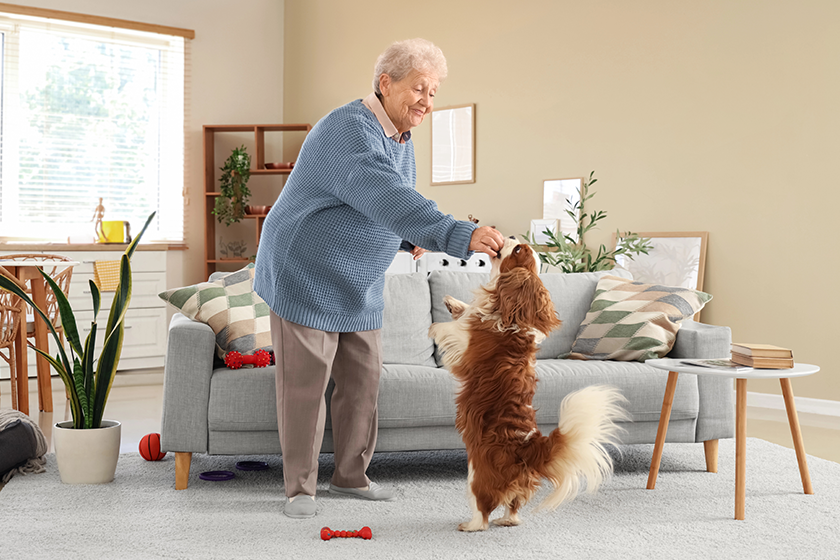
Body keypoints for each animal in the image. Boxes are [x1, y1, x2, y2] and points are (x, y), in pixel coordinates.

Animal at [430, 238, 628, 532]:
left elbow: (453, 330)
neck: (512, 316)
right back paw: (507, 520)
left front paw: (435, 324)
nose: (509, 237)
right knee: (514, 504)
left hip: (477, 475)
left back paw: (471, 524)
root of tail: (529, 446)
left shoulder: (466, 346)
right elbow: (467, 312)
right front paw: (452, 302)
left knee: (483, 509)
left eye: (517, 250)